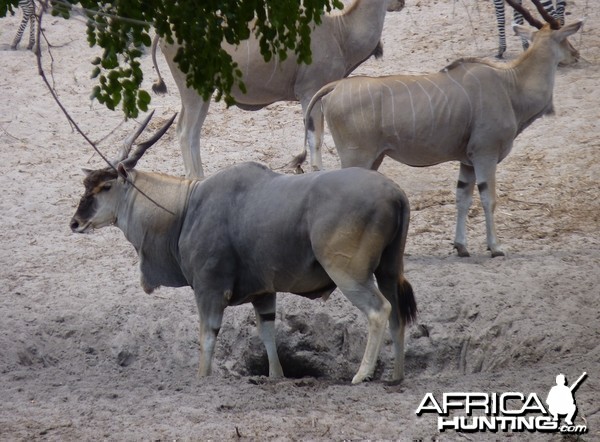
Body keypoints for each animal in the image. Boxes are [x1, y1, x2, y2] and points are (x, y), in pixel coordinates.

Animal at [69, 114, 418, 384]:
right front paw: (276, 377)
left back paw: (362, 375)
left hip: (348, 274)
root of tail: (396, 194)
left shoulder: (208, 290)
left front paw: (203, 378)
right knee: (398, 315)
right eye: (87, 185)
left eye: (105, 186)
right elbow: (267, 334)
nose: (75, 222)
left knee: (379, 310)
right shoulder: (264, 293)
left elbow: (207, 337)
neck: (186, 207)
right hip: (388, 270)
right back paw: (396, 375)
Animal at [292, 12, 584, 256]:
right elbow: (489, 198)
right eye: (565, 38)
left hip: (373, 158)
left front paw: (461, 246)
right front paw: (495, 247)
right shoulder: (485, 155)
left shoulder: (467, 161)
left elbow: (462, 198)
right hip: (358, 156)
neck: (510, 85)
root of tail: (336, 88)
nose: (577, 54)